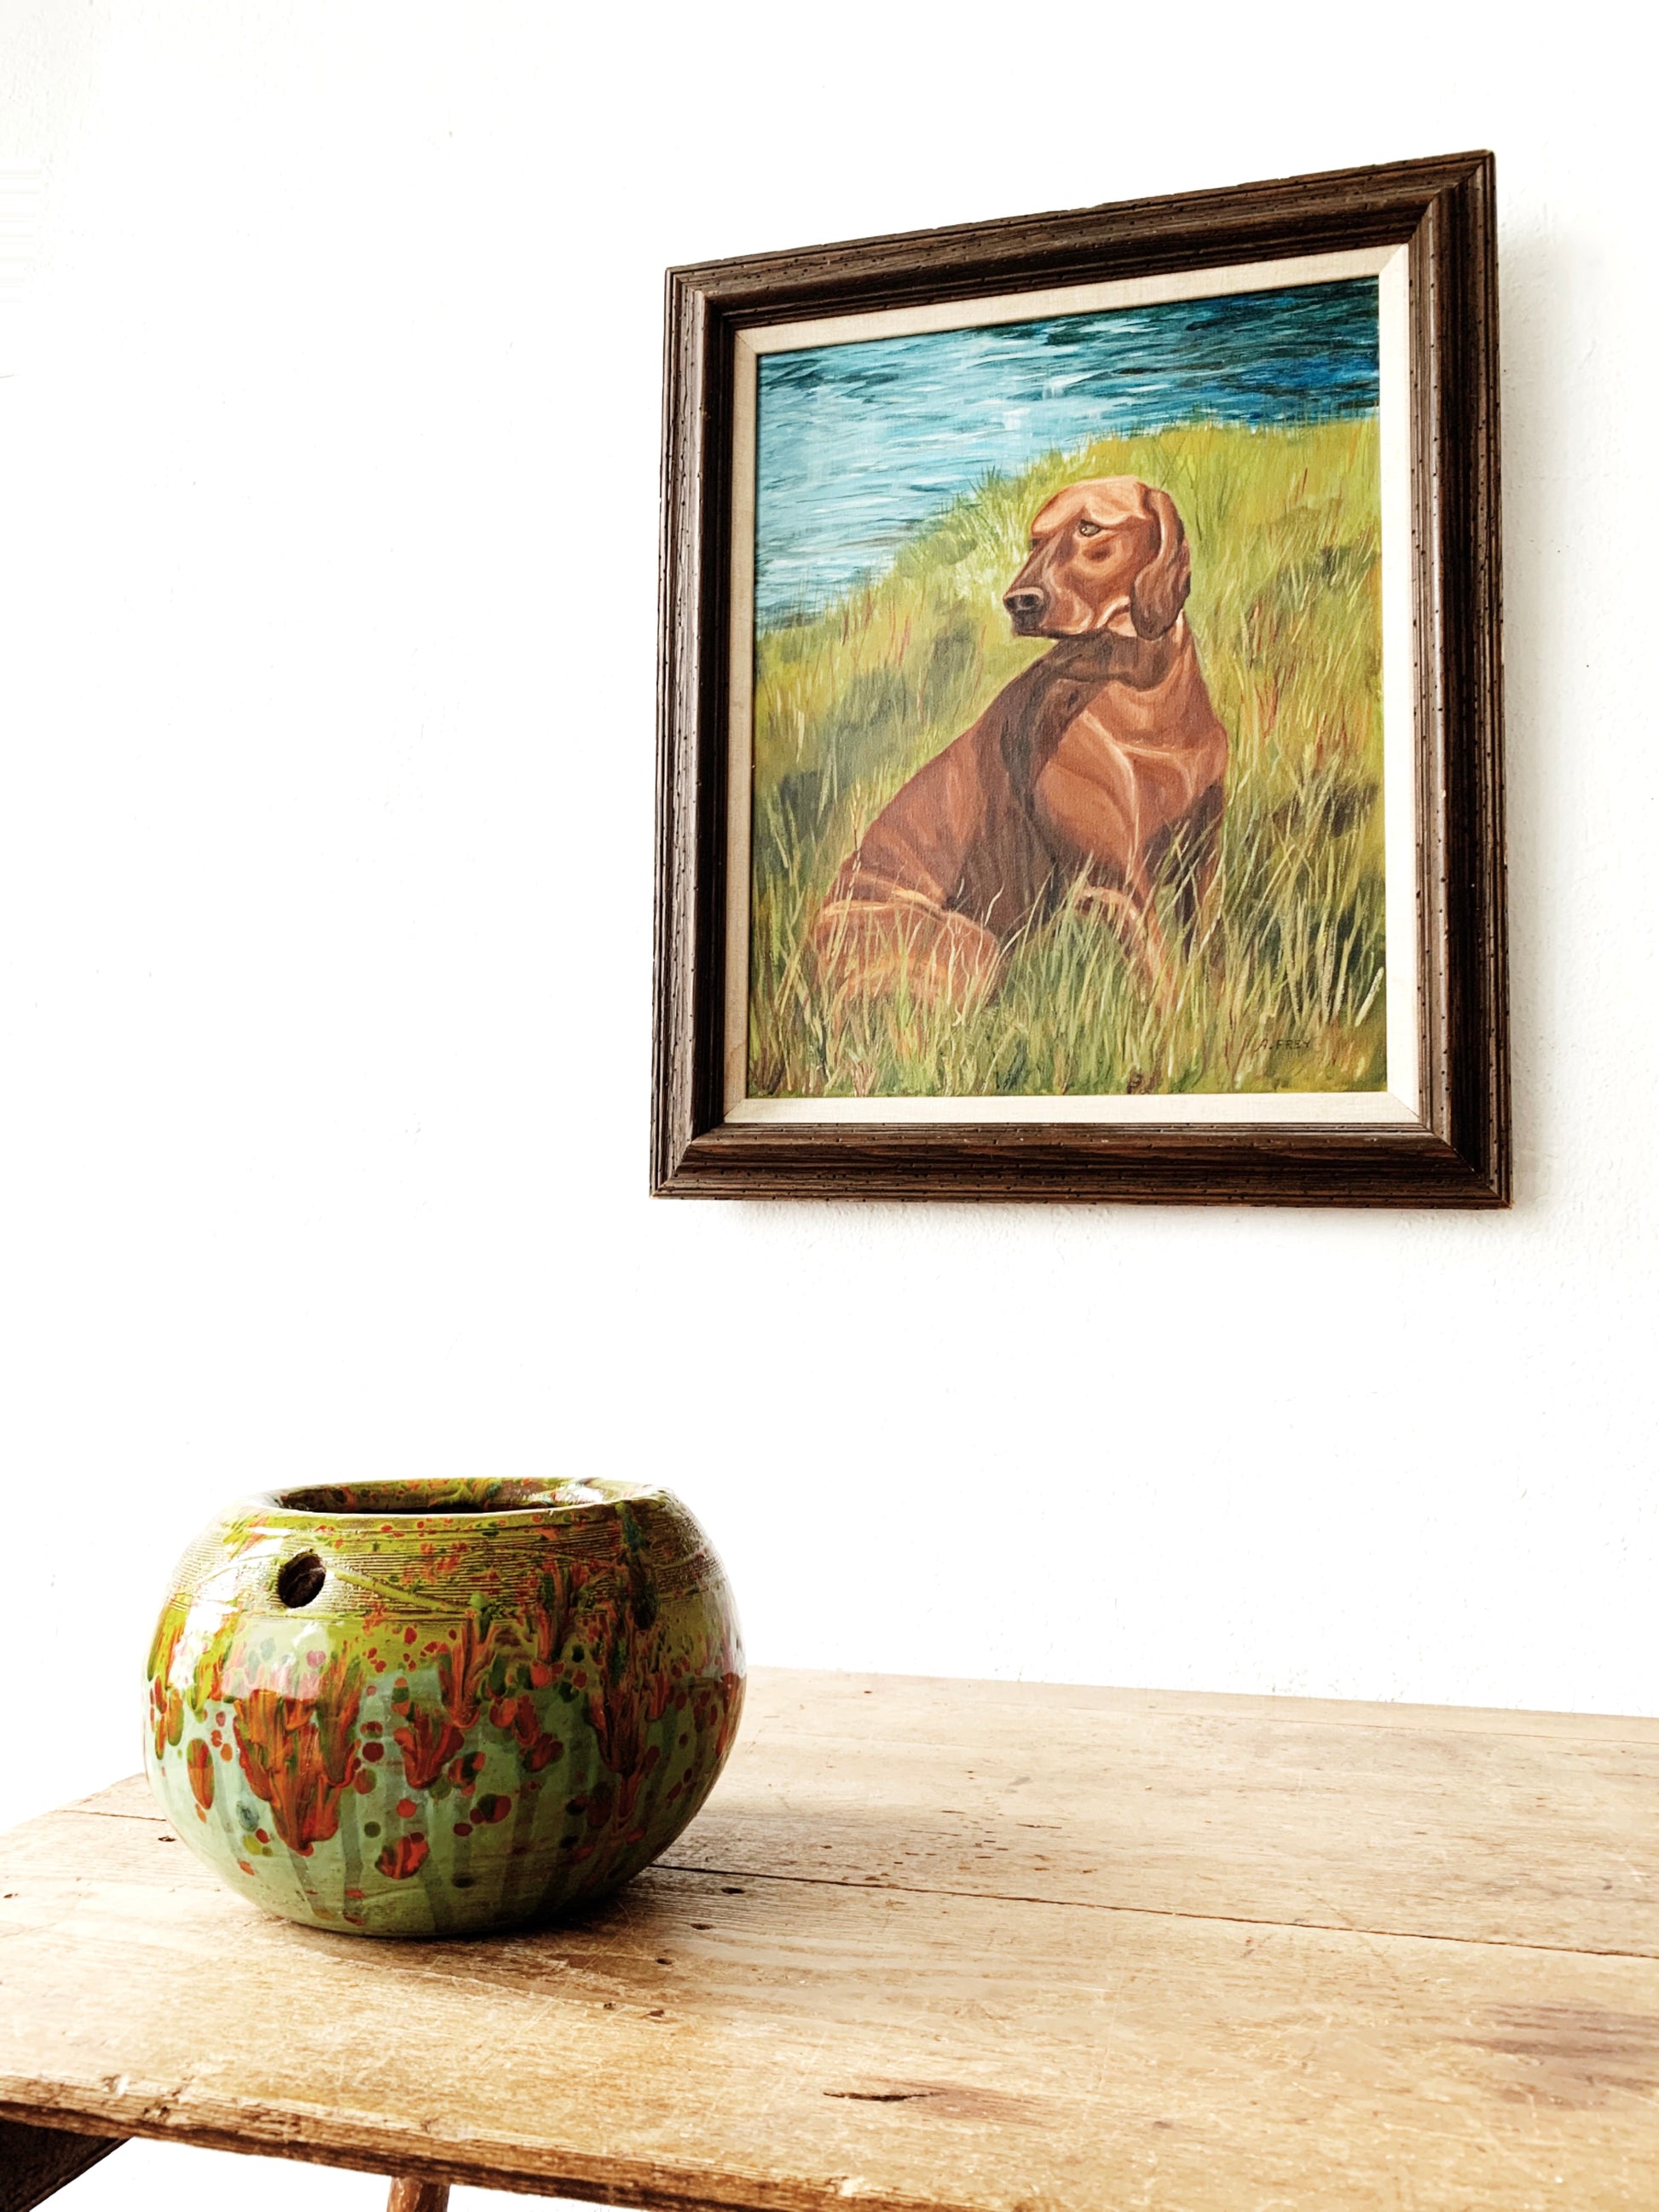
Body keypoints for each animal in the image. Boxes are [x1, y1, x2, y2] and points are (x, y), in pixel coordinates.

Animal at [812, 477, 1228, 1005]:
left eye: (1089, 528)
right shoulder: (1113, 883)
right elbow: (1163, 982)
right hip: (973, 943)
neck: (1146, 700)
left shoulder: (1203, 857)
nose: (1019, 602)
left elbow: (1208, 949)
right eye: (1035, 540)